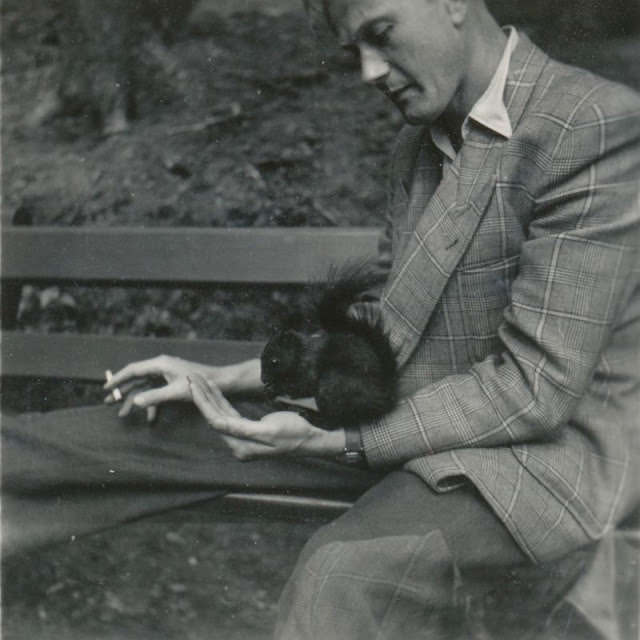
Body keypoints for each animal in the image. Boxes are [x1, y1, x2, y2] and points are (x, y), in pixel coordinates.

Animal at [258, 260, 396, 430]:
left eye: (274, 361)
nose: (263, 379)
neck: (300, 353)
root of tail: (383, 397)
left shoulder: (309, 368)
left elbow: (301, 387)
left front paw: (275, 387)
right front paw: (268, 390)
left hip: (334, 386)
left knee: (336, 420)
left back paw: (313, 417)